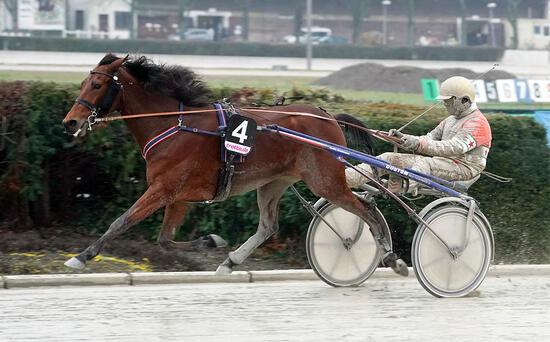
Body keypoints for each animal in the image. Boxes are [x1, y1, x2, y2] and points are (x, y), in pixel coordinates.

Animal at [62, 54, 408, 278]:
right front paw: (211, 242)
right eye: (83, 82)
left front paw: (81, 257)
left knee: (366, 209)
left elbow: (121, 221)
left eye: (96, 85)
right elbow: (164, 238)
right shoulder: (178, 195)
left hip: (325, 180)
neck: (176, 124)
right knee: (269, 225)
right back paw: (230, 261)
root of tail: (328, 116)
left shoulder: (163, 188)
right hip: (273, 182)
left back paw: (391, 256)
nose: (70, 123)